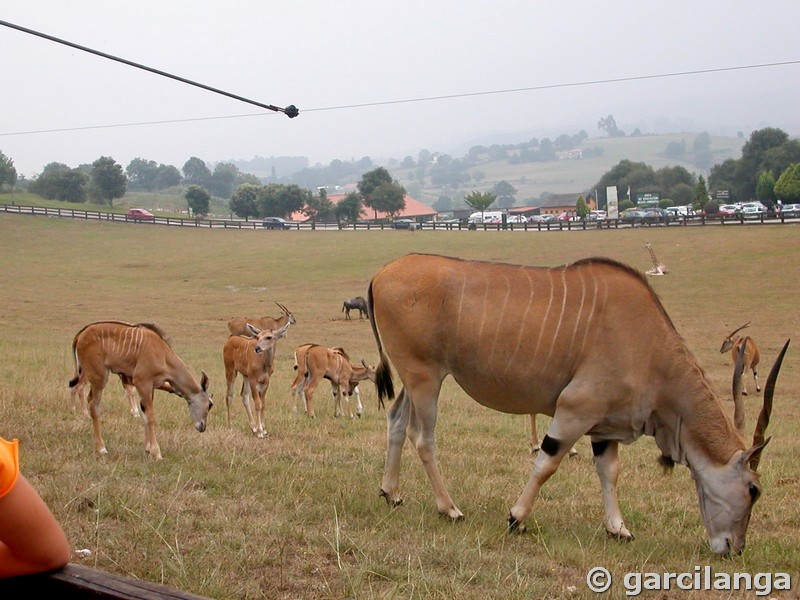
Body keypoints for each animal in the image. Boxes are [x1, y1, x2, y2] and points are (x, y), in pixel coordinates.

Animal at [68, 324, 212, 460]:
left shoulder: (150, 387)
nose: (202, 426)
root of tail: (80, 335)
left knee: (88, 397)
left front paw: (148, 448)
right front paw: (156, 452)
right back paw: (101, 448)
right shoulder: (142, 382)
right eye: (210, 404)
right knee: (94, 406)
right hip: (100, 377)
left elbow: (144, 414)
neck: (163, 354)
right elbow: (150, 416)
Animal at [368, 252, 788, 552]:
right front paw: (516, 518)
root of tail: (381, 274)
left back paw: (392, 494)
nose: (734, 548)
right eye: (753, 490)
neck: (648, 343)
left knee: (396, 422)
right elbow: (547, 463)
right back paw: (449, 508)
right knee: (423, 438)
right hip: (426, 380)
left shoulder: (604, 426)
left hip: (415, 382)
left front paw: (618, 528)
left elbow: (609, 471)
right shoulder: (574, 411)